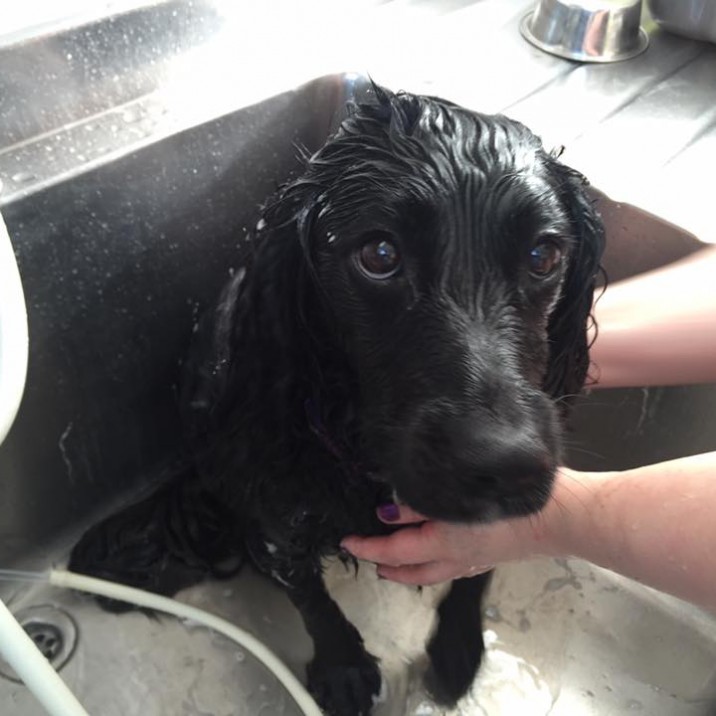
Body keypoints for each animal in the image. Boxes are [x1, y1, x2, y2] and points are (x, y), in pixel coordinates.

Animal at [70, 86, 604, 712]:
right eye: (379, 254)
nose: (506, 464)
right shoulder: (275, 511)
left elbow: (478, 567)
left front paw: (459, 644)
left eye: (544, 255)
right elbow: (309, 596)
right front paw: (342, 668)